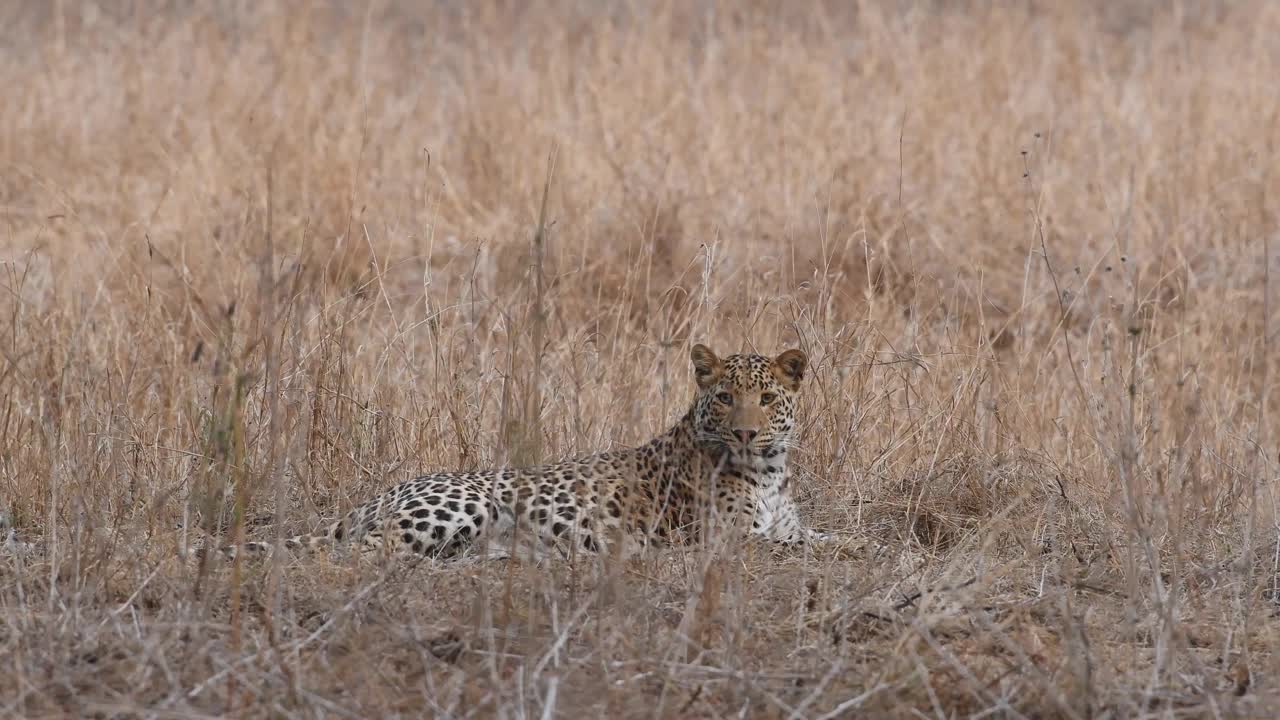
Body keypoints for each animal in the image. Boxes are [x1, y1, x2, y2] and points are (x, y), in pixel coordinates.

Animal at [207, 340, 829, 561]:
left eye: (766, 398)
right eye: (725, 398)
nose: (746, 433)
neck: (769, 471)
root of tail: (374, 499)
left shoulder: (785, 523)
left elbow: (817, 535)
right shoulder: (725, 538)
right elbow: (797, 544)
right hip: (460, 505)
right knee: (363, 549)